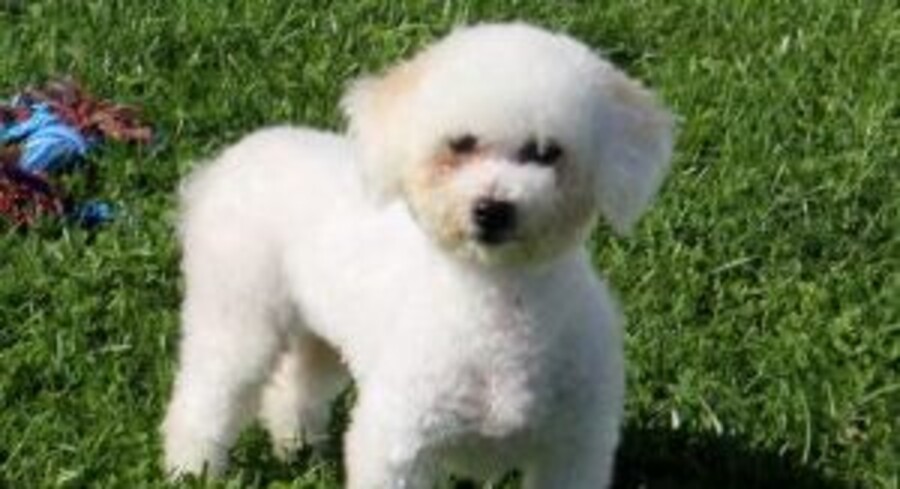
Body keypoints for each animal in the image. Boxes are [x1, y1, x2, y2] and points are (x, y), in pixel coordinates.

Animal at [162, 22, 674, 488]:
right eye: (460, 144)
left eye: (547, 152)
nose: (492, 209)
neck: (500, 309)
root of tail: (222, 167)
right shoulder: (399, 441)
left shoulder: (573, 448)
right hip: (237, 312)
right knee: (207, 394)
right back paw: (191, 468)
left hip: (319, 329)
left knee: (297, 382)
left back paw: (299, 444)